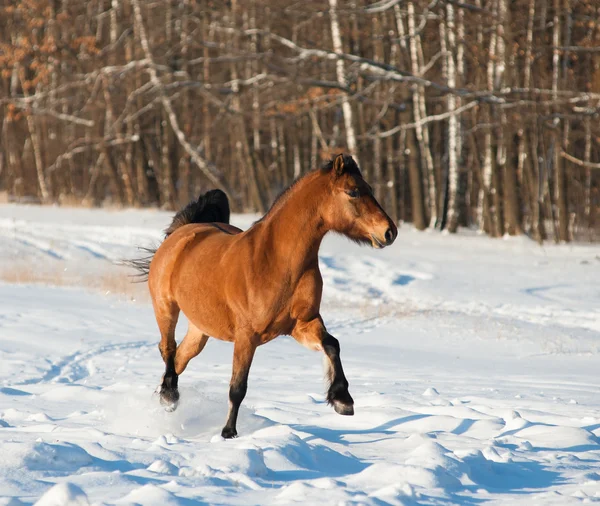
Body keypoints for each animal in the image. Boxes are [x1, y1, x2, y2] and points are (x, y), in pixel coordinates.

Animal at [135, 155, 398, 438]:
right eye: (353, 192)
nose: (390, 232)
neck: (276, 262)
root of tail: (181, 234)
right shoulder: (247, 336)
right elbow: (237, 387)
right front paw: (228, 433)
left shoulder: (302, 324)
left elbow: (332, 344)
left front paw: (342, 400)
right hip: (166, 309)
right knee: (168, 348)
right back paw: (168, 396)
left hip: (201, 328)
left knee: (181, 357)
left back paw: (167, 396)